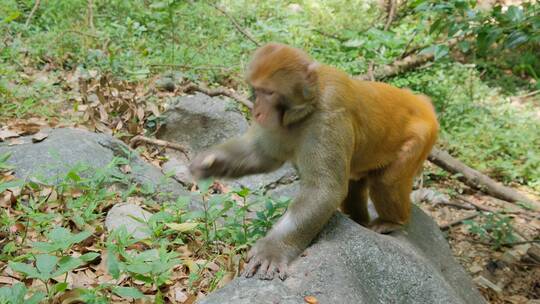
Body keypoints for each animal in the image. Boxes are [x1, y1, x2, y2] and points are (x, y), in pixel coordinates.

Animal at [190, 42, 438, 280]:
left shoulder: (329, 117)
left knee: (386, 182)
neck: (309, 106)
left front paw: (273, 250)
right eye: (256, 91)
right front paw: (210, 163)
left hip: (421, 138)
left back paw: (392, 221)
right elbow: (263, 155)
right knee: (354, 185)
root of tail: (422, 103)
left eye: (269, 93)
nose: (257, 111)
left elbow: (323, 190)